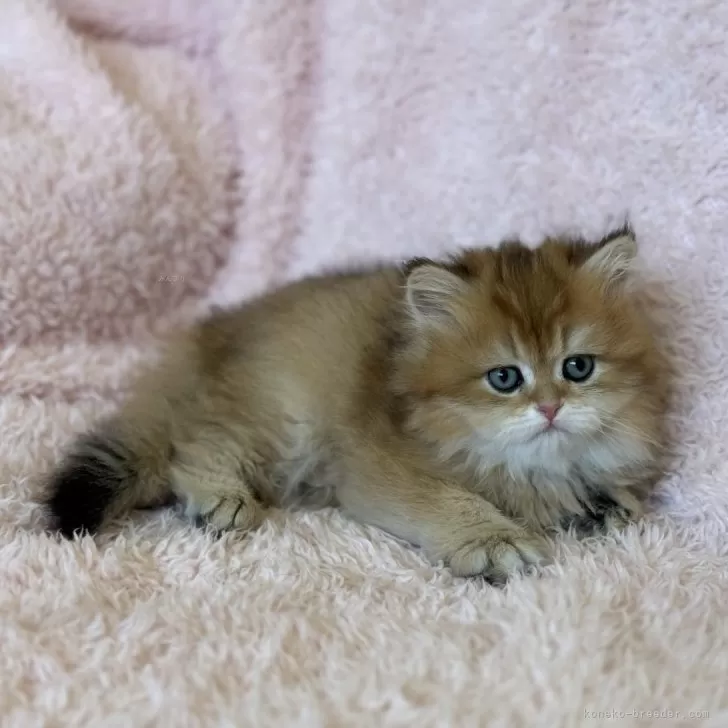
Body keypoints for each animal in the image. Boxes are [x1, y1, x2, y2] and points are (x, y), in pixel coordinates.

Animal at [42, 227, 668, 583]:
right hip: (282, 414)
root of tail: (211, 335)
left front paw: (601, 502)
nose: (550, 409)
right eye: (505, 378)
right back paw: (221, 499)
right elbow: (451, 501)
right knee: (196, 446)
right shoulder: (378, 468)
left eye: (578, 367)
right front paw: (494, 542)